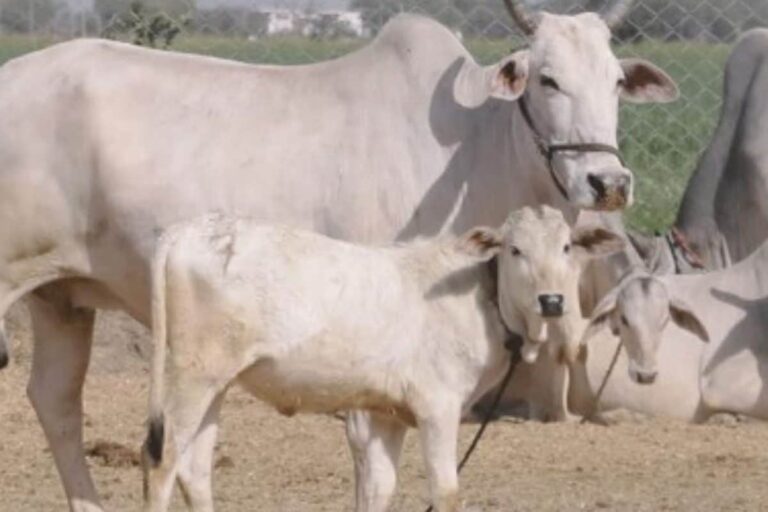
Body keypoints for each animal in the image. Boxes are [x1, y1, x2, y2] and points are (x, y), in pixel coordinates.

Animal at [141, 207, 624, 512]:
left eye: (566, 247)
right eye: (514, 249)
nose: (552, 300)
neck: (482, 297)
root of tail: (188, 229)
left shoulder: (385, 413)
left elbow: (378, 489)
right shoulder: (438, 406)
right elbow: (445, 491)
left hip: (216, 383)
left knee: (194, 469)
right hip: (193, 375)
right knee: (162, 461)